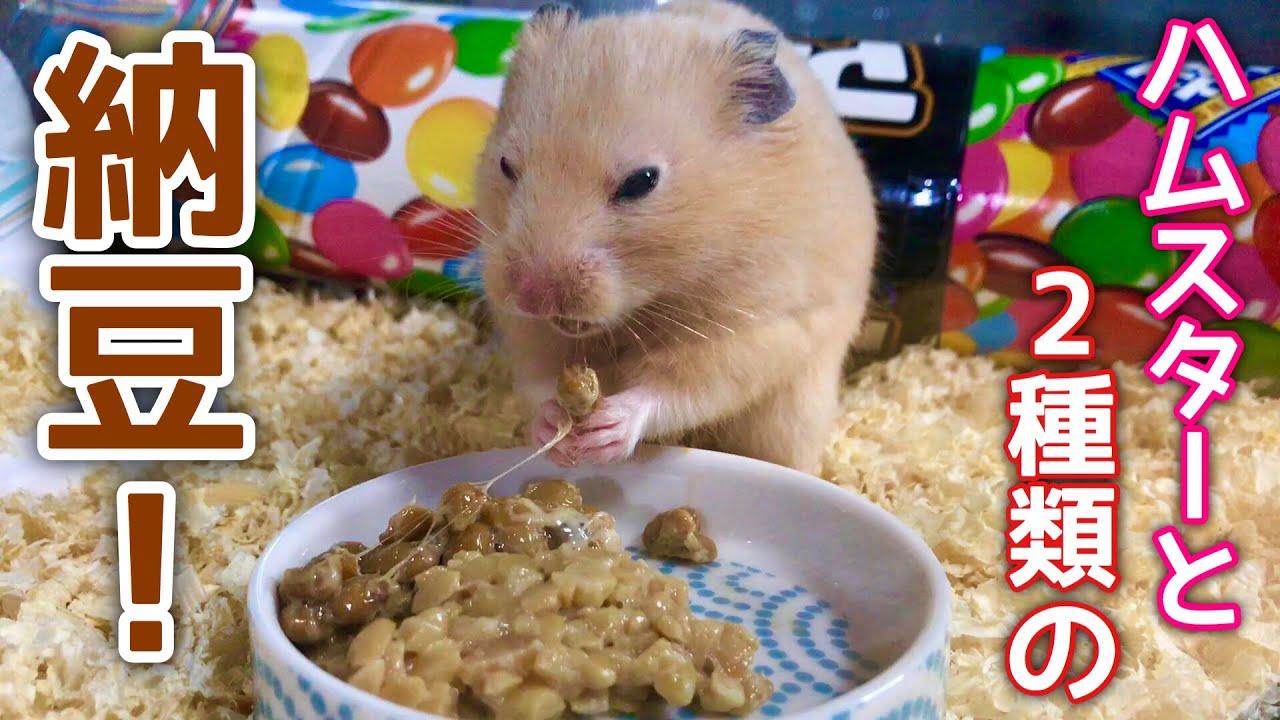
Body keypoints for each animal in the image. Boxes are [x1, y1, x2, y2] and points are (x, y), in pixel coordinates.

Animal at [474, 0, 878, 474]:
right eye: (506, 166)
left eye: (642, 181)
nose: (531, 296)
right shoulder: (529, 332)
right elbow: (539, 380)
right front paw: (554, 432)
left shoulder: (750, 329)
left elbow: (679, 387)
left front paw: (607, 430)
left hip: (791, 415)